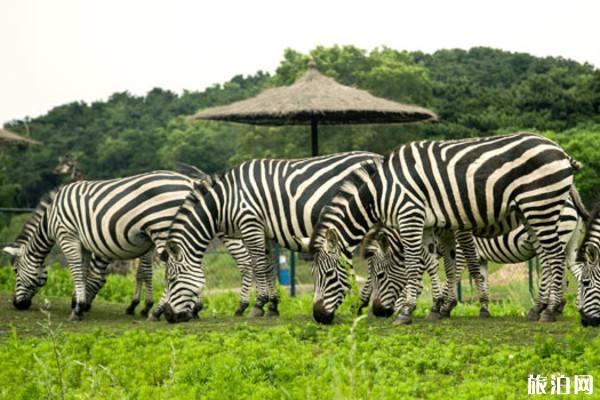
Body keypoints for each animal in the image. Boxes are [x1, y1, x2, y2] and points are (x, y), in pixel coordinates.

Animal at [158, 152, 384, 324]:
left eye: (171, 279)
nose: (168, 315)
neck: (224, 201)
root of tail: (378, 156)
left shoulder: (250, 224)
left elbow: (258, 266)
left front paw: (258, 305)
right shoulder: (263, 231)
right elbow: (268, 267)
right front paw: (273, 306)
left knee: (373, 262)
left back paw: (363, 304)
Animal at [312, 134, 584, 324]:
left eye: (329, 275)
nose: (318, 317)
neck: (382, 191)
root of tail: (559, 149)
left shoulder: (410, 216)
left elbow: (416, 265)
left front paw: (407, 311)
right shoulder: (431, 225)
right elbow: (438, 265)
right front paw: (438, 307)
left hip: (541, 205)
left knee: (554, 257)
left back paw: (550, 310)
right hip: (532, 212)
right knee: (548, 257)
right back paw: (538, 308)